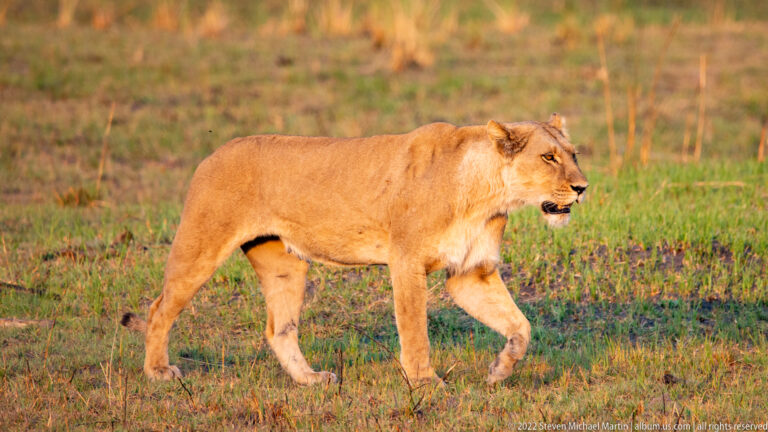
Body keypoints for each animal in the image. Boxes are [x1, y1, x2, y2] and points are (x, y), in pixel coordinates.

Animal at [121, 113, 588, 386]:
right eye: (548, 157)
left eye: (573, 154)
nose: (582, 188)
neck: (488, 192)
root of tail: (213, 153)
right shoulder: (406, 262)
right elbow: (415, 330)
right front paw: (426, 384)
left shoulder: (472, 273)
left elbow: (521, 327)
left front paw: (498, 372)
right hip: (200, 245)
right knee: (158, 309)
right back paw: (158, 372)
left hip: (285, 265)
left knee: (279, 329)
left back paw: (310, 380)